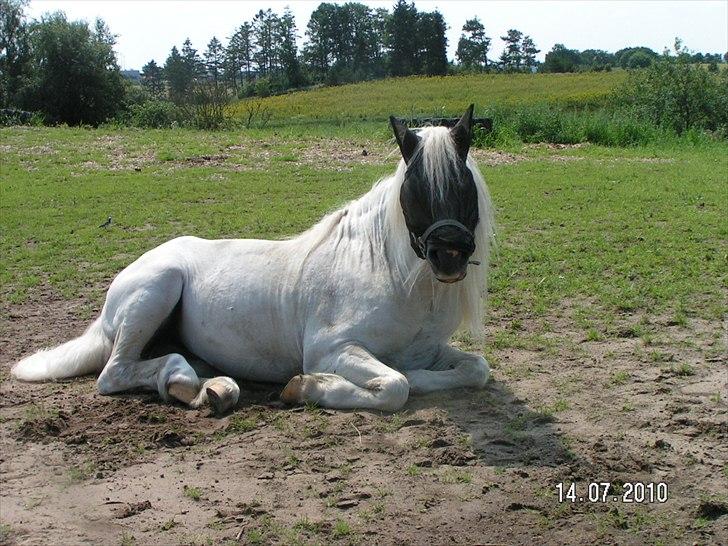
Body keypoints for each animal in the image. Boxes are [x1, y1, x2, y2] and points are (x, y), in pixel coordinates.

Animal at [12, 105, 494, 412]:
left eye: (464, 184)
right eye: (414, 188)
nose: (449, 256)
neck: (391, 276)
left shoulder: (429, 351)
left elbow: (474, 369)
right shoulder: (332, 349)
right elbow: (396, 385)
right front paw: (305, 389)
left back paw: (207, 390)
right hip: (156, 291)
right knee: (114, 373)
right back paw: (187, 381)